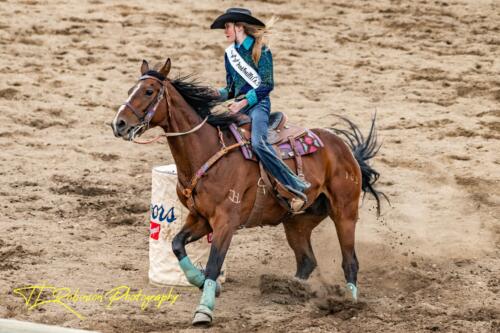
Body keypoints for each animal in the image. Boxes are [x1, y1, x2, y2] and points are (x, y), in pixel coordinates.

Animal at [110, 57, 382, 324]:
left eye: (148, 91)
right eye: (130, 90)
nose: (119, 124)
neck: (206, 152)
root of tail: (345, 149)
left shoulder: (225, 222)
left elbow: (213, 264)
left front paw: (204, 310)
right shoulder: (200, 218)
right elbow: (177, 244)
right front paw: (201, 282)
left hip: (344, 213)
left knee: (350, 262)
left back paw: (349, 304)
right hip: (297, 222)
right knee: (307, 260)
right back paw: (290, 291)